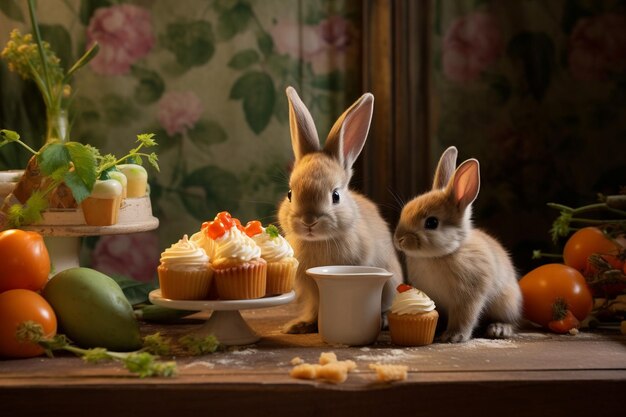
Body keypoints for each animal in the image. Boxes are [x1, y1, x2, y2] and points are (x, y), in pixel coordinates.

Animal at [276, 86, 402, 334]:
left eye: (335, 196)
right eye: (290, 194)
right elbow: (314, 308)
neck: (318, 242)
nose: (309, 220)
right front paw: (299, 325)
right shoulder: (311, 291)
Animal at [392, 146, 520, 342]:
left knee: (511, 321)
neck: (445, 253)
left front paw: (454, 336)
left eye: (432, 223)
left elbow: (465, 316)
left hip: (506, 303)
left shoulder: (469, 297)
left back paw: (499, 329)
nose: (399, 239)